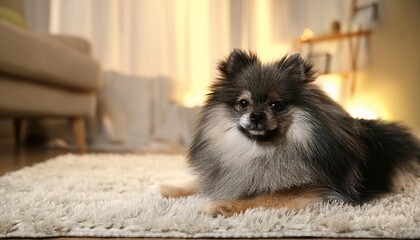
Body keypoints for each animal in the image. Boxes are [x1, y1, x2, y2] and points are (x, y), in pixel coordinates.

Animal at [159, 48, 418, 218]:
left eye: (276, 105)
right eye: (243, 103)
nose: (257, 115)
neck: (257, 151)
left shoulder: (309, 190)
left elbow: (260, 198)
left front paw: (220, 205)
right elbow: (200, 183)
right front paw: (170, 188)